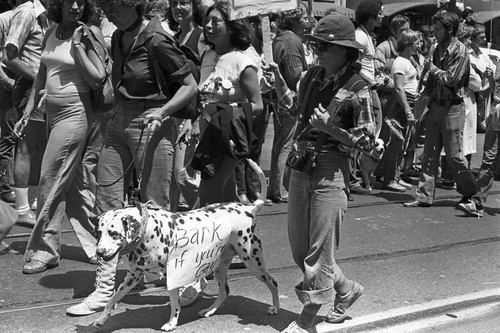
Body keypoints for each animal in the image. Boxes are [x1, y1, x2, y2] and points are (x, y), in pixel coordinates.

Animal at [92, 159, 280, 330]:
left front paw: (172, 323)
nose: (99, 252)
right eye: (99, 232)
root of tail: (249, 209)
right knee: (224, 292)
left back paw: (275, 307)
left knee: (273, 282)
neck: (148, 230)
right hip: (219, 268)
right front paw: (101, 319)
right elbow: (112, 299)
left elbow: (175, 303)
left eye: (114, 233)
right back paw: (209, 310)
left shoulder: (170, 277)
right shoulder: (132, 276)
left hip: (254, 263)